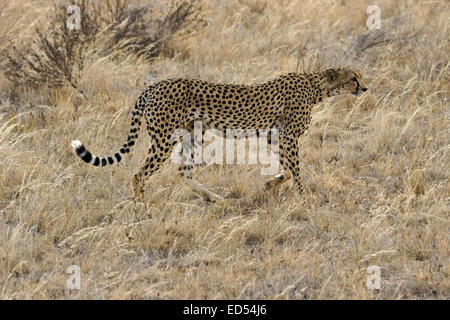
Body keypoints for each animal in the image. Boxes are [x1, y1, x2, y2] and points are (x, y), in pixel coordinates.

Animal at [72, 67, 368, 202]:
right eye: (353, 78)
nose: (365, 88)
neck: (315, 85)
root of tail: (153, 86)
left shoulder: (275, 136)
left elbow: (286, 169)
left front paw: (270, 184)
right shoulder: (288, 137)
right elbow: (295, 169)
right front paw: (305, 198)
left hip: (192, 135)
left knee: (183, 171)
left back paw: (213, 198)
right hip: (164, 138)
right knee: (139, 174)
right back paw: (142, 206)